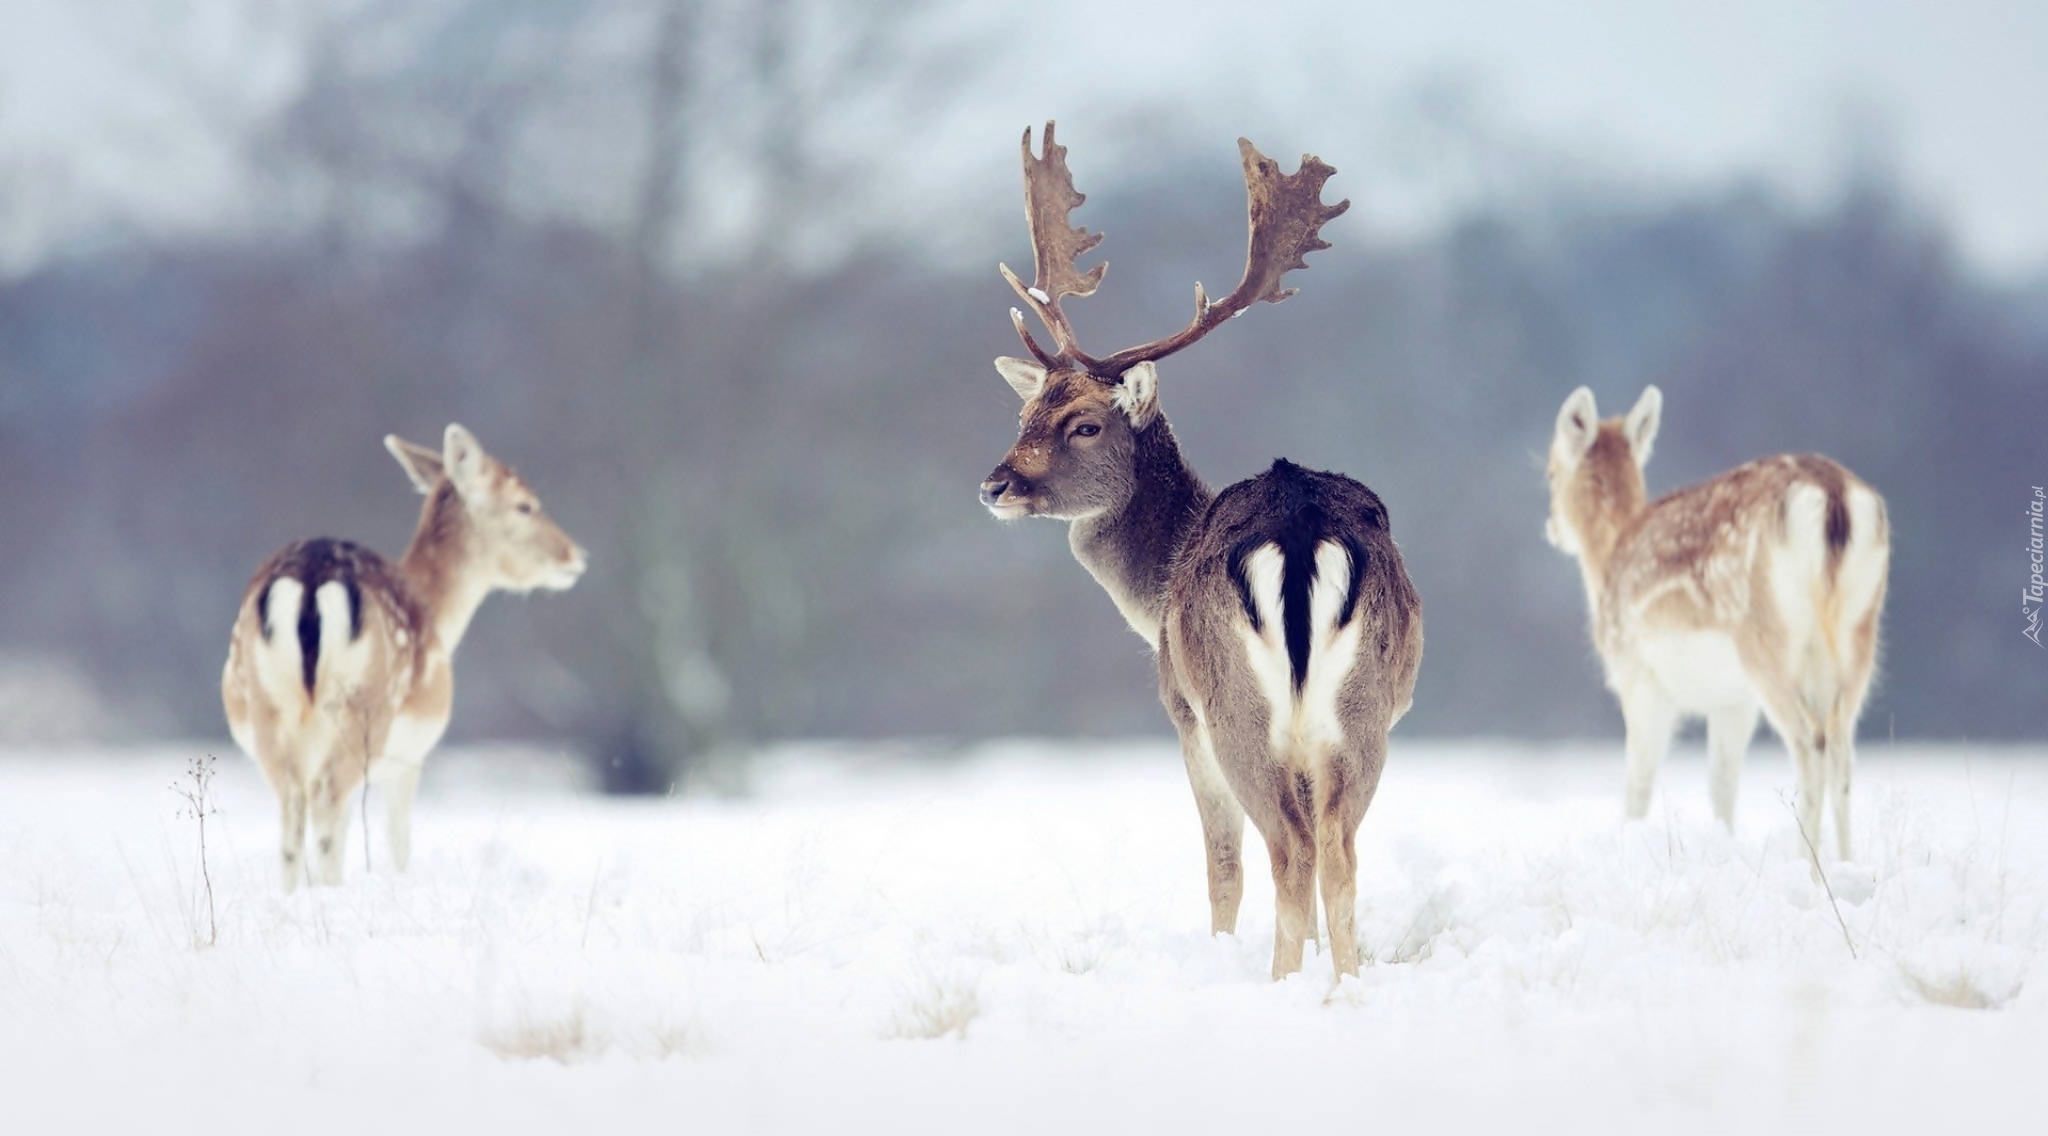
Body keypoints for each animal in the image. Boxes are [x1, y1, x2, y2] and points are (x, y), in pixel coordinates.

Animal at [222, 423, 585, 888]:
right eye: (525, 504)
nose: (574, 555)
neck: (439, 616)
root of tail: (311, 580)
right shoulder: (410, 756)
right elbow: (398, 840)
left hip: (267, 705)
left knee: (292, 811)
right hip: (365, 711)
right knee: (326, 801)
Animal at [974, 122, 1425, 978]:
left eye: (1085, 423)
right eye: (1027, 413)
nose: (994, 484)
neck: (1155, 586)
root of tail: (1299, 527)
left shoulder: (1181, 713)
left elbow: (1221, 867)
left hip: (1235, 709)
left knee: (1286, 850)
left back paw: (1281, 982)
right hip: (1365, 712)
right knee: (1338, 850)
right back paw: (1342, 985)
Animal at [1548, 384, 1884, 863]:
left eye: (1551, 473)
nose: (1552, 528)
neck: (1608, 562)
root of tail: (1834, 496)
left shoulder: (1639, 675)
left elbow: (1638, 784)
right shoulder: (1732, 701)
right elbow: (1722, 785)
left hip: (1767, 642)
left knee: (1810, 742)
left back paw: (1809, 865)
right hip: (1858, 635)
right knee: (1842, 747)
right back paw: (1846, 864)